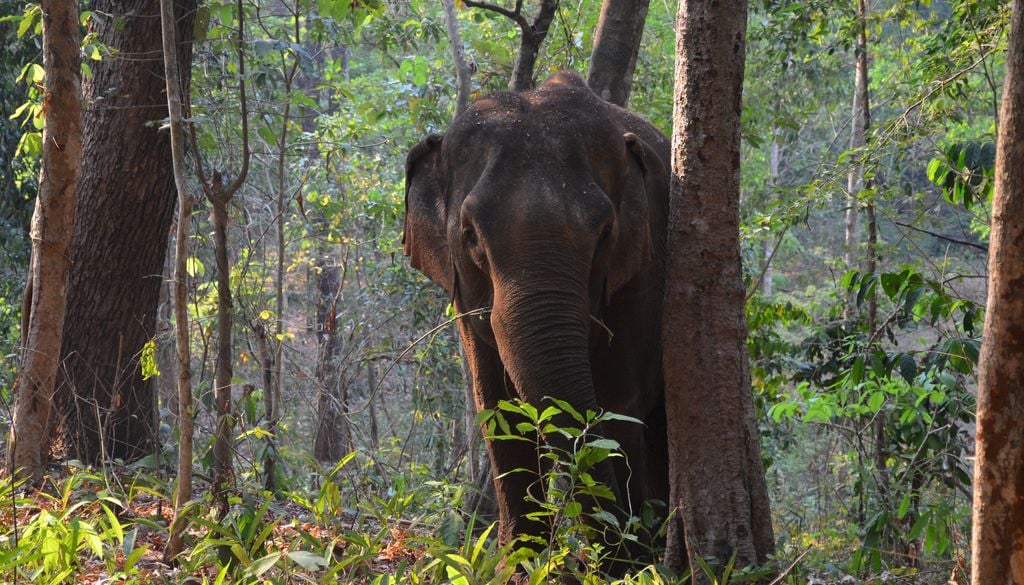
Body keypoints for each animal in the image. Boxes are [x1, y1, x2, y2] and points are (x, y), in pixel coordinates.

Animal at [403, 70, 671, 562]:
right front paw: (518, 564)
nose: (615, 551)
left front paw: (629, 565)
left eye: (606, 232)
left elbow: (619, 405)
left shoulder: (645, 268)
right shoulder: (466, 298)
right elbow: (497, 408)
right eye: (470, 234)